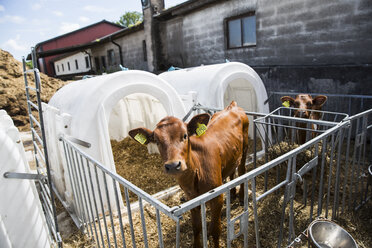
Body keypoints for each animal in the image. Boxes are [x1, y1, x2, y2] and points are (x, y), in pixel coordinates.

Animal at [129, 101, 248, 248]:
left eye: (185, 135)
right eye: (156, 141)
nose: (173, 165)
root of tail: (232, 106)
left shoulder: (217, 197)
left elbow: (215, 229)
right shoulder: (191, 198)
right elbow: (196, 227)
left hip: (245, 147)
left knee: (242, 170)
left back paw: (241, 197)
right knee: (232, 171)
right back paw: (232, 193)